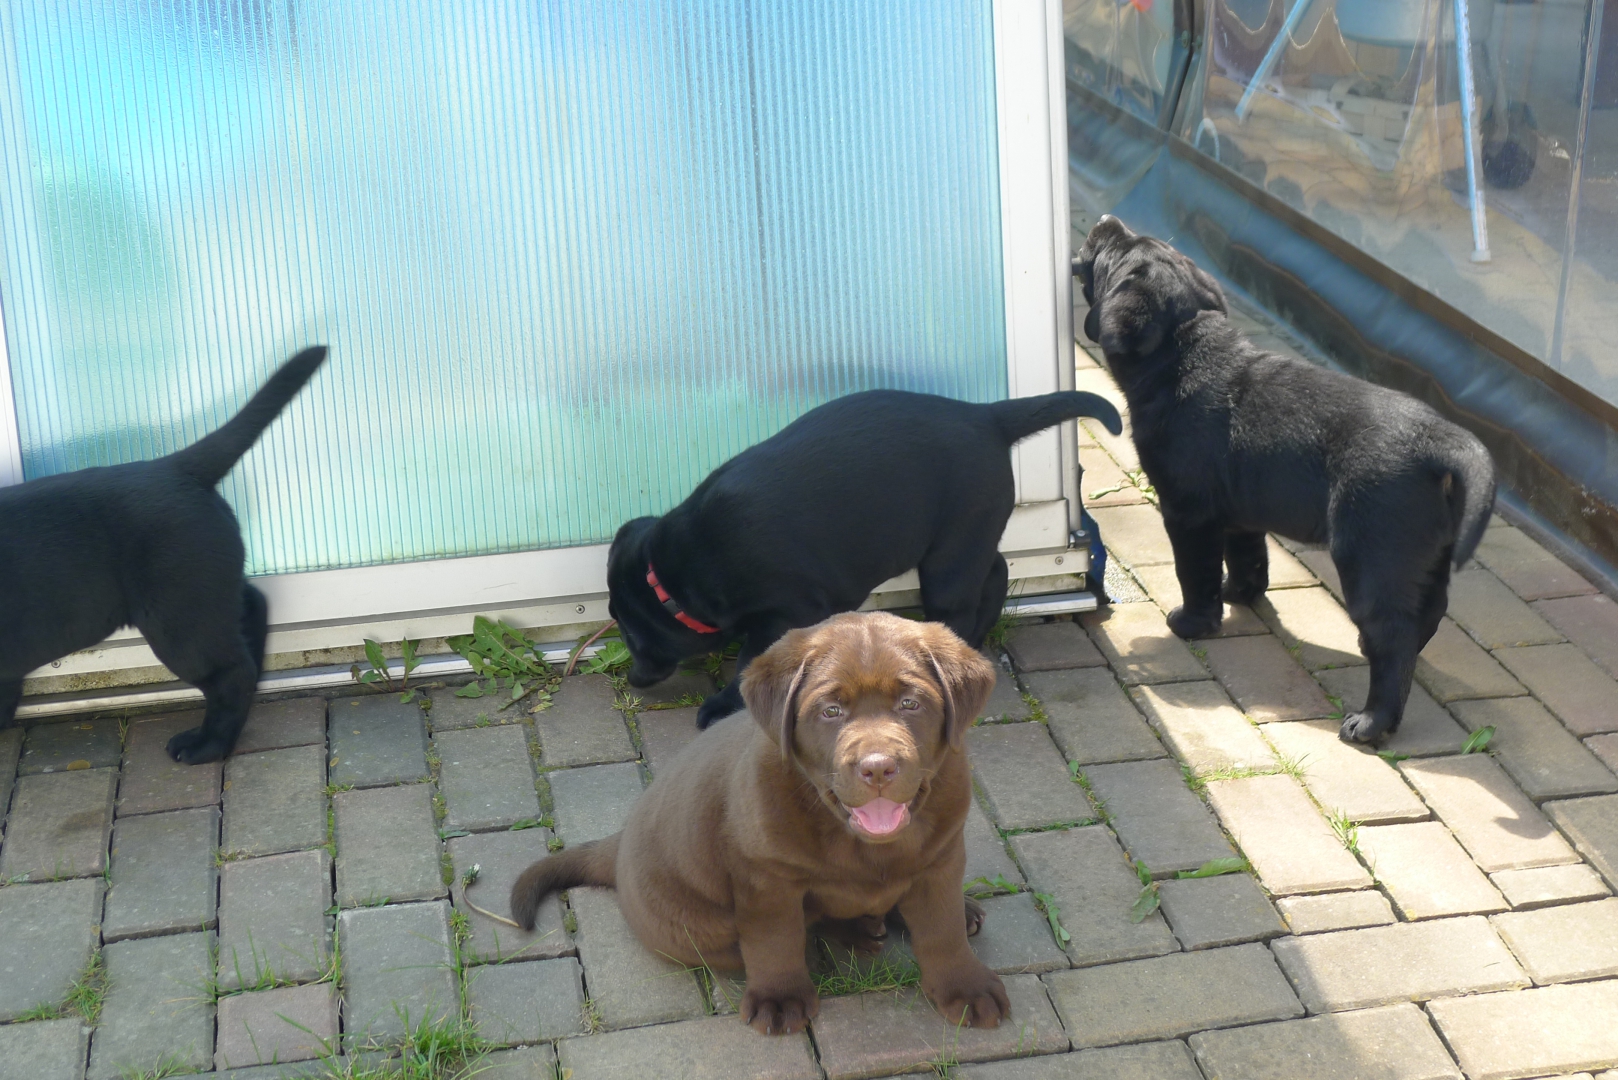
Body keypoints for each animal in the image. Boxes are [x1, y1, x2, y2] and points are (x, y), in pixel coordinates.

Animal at [0, 347, 327, 763]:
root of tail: (174, 467)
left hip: (178, 619)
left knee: (230, 673)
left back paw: (206, 745)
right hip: (203, 592)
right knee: (251, 610)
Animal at [510, 611, 1009, 1035]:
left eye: (910, 703)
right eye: (831, 711)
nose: (878, 768)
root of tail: (620, 843)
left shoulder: (942, 859)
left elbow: (942, 929)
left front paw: (965, 986)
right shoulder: (766, 879)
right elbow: (776, 940)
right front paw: (780, 999)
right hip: (700, 930)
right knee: (801, 927)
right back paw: (856, 929)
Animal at [605, 387, 1122, 728]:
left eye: (629, 632)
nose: (634, 676)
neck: (675, 572)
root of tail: (987, 417)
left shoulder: (785, 609)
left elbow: (751, 660)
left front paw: (722, 704)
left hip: (951, 548)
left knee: (957, 604)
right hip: (968, 532)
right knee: (994, 571)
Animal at [1075, 216, 1494, 744]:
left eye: (1116, 252)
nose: (1106, 220)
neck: (1182, 354)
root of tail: (1440, 438)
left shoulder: (1187, 512)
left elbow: (1195, 570)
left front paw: (1193, 622)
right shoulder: (1241, 510)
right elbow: (1248, 556)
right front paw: (1240, 594)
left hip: (1372, 555)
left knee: (1392, 636)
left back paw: (1371, 722)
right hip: (1427, 552)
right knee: (1429, 611)